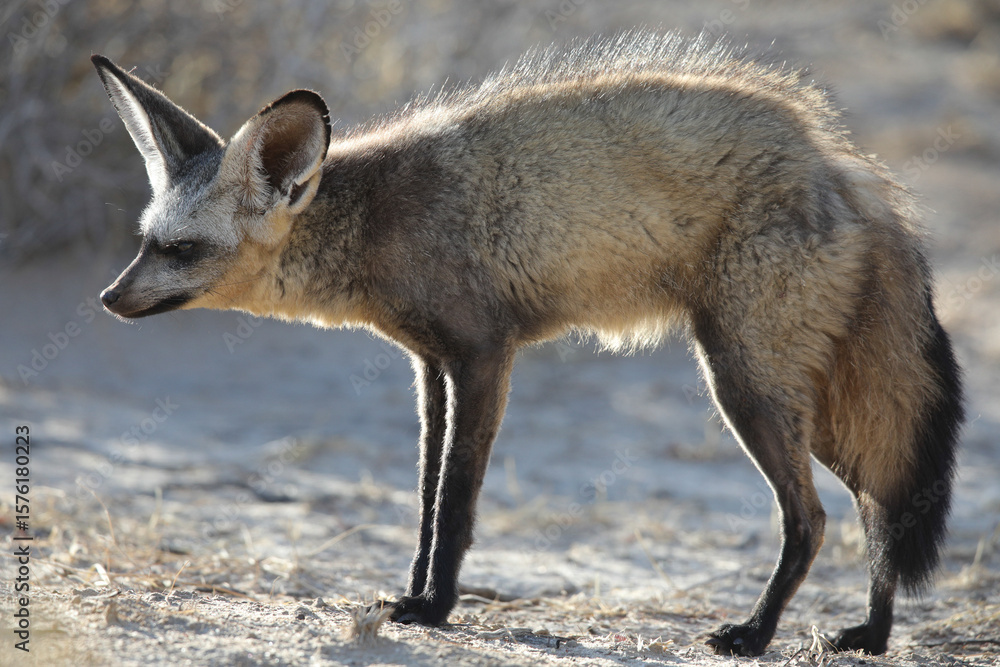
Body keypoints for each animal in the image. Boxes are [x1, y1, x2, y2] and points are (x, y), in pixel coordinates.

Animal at [91, 32, 963, 657]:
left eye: (182, 250)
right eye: (144, 241)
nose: (107, 299)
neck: (377, 221)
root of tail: (839, 160)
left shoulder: (484, 355)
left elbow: (456, 501)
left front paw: (436, 608)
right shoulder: (429, 366)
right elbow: (424, 498)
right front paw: (411, 593)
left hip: (746, 384)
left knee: (812, 517)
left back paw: (755, 633)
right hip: (812, 407)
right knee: (880, 505)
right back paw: (872, 635)